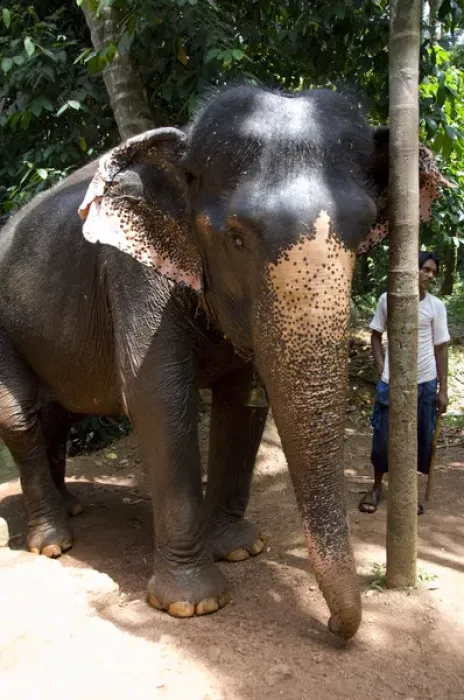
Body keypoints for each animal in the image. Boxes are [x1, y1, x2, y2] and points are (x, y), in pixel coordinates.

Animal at [0, 84, 449, 640]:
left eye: (364, 229)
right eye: (236, 238)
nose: (332, 626)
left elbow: (242, 402)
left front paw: (240, 549)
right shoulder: (131, 272)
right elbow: (155, 398)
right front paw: (191, 604)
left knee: (59, 413)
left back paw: (70, 510)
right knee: (20, 416)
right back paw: (52, 543)